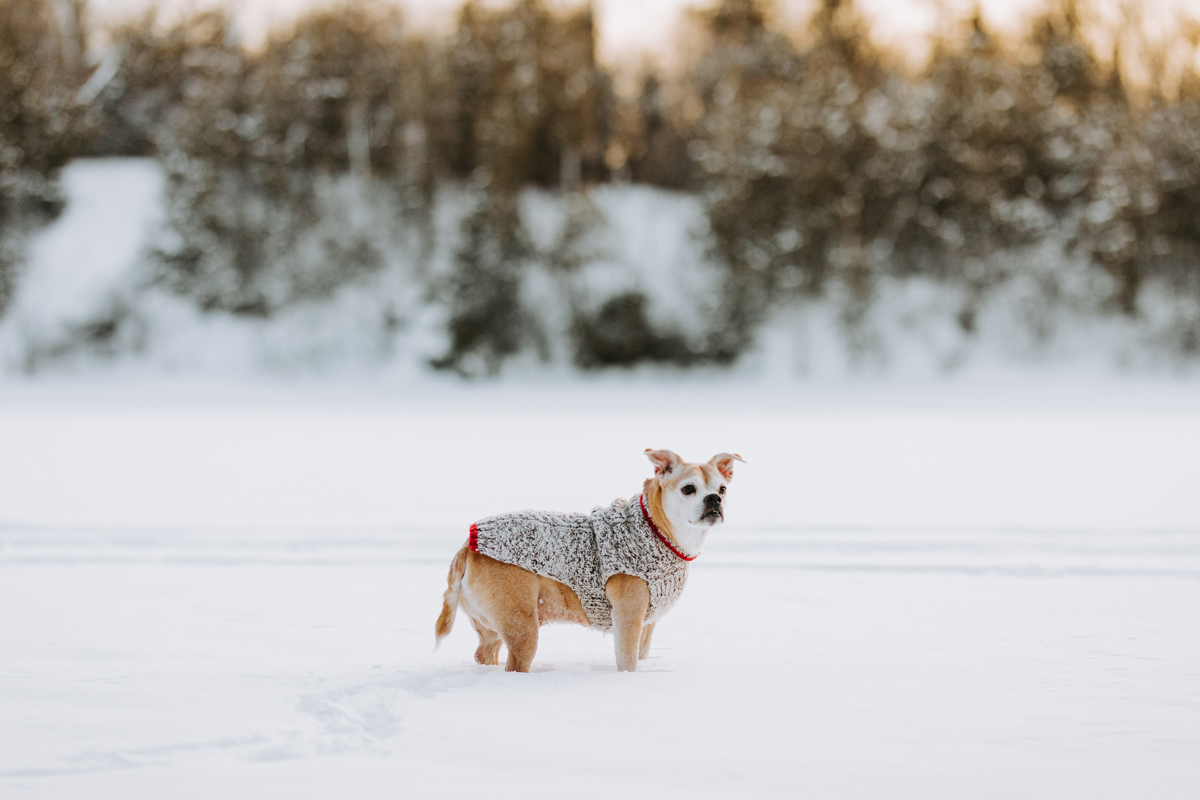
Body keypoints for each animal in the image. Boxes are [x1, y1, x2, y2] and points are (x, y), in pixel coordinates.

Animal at [432, 450, 739, 671]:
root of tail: (469, 543)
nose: (714, 499)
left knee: (484, 652)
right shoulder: (628, 618)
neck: (656, 529)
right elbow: (627, 662)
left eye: (723, 489)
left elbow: (640, 654)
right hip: (522, 628)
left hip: (491, 627)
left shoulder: (647, 624)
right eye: (688, 489)